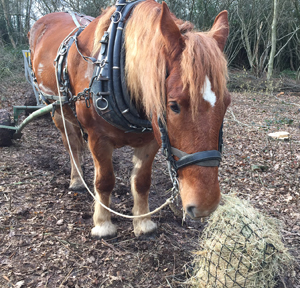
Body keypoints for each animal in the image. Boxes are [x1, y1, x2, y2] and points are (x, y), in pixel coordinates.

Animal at [28, 0, 231, 238]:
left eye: (226, 103)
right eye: (174, 105)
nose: (206, 205)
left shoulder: (152, 140)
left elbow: (142, 182)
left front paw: (142, 222)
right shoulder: (97, 138)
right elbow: (104, 180)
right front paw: (103, 224)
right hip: (56, 110)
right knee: (72, 146)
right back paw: (77, 179)